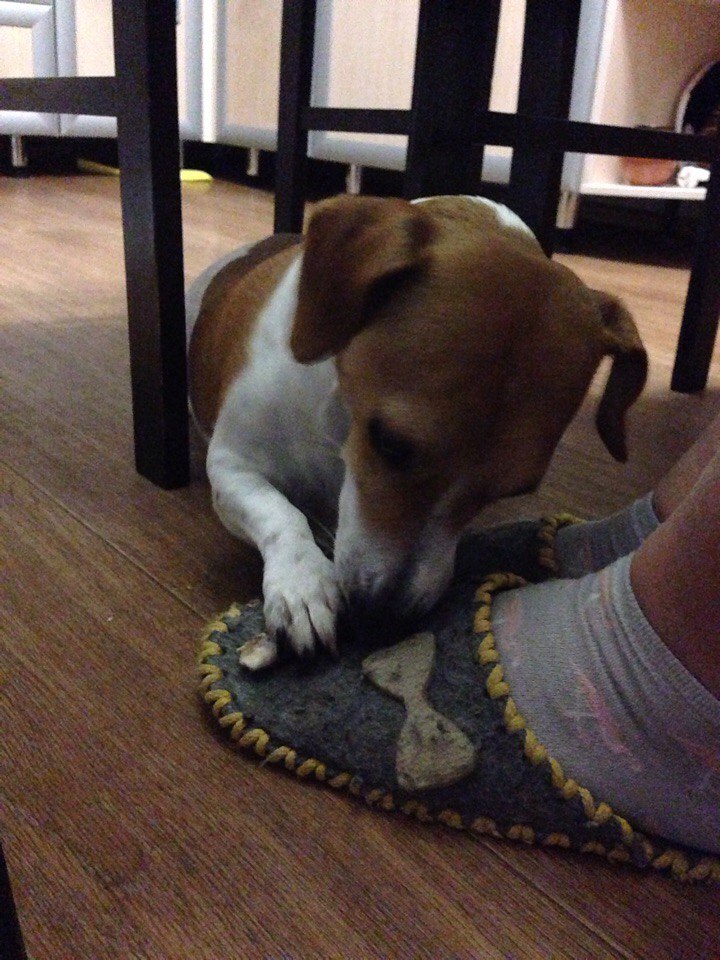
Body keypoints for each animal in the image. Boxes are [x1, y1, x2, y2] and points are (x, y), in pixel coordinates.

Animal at [188, 194, 647, 670]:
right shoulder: (232, 466)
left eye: (510, 492)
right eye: (389, 444)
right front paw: (303, 583)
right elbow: (281, 513)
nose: (383, 621)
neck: (340, 427)